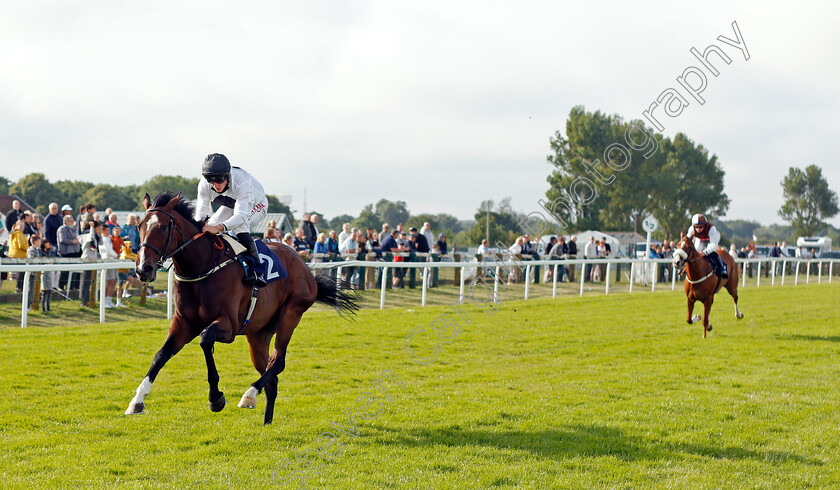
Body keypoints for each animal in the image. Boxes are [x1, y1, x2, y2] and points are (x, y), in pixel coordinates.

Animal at [125, 193, 358, 424]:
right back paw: (266, 422)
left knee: (278, 362)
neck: (203, 265)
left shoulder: (228, 326)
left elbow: (205, 339)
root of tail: (305, 268)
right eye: (139, 226)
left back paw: (249, 395)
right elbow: (161, 355)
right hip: (258, 334)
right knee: (271, 378)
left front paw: (216, 398)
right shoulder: (184, 323)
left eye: (163, 227)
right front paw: (137, 400)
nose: (143, 269)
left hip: (291, 314)